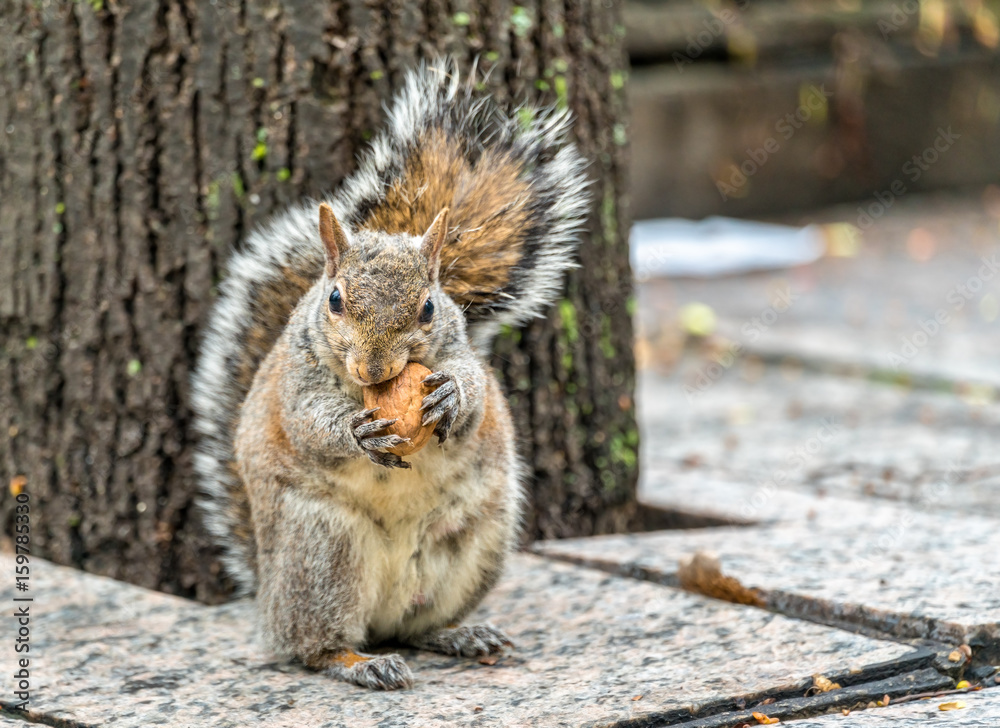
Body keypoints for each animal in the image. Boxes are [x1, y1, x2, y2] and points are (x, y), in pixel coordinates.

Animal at [191, 59, 588, 692]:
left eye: (428, 307)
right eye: (333, 299)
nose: (375, 367)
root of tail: (269, 596)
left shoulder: (461, 352)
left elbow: (477, 396)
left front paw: (450, 398)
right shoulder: (295, 380)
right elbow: (309, 423)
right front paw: (357, 432)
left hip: (473, 542)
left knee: (416, 626)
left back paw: (459, 634)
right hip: (322, 552)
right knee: (312, 646)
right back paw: (358, 662)